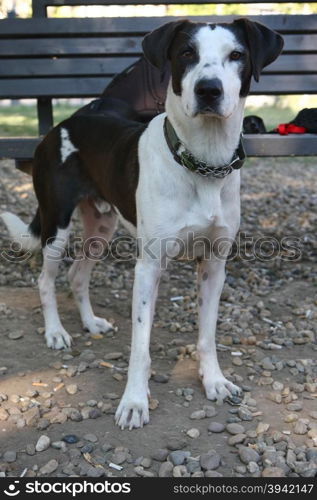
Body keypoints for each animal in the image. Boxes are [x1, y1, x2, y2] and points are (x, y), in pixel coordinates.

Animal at [1, 17, 282, 428]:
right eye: (187, 53)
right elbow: (140, 346)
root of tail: (61, 126)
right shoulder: (149, 267)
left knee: (77, 275)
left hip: (101, 229)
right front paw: (134, 402)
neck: (203, 163)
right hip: (57, 223)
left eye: (237, 55)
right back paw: (55, 332)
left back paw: (91, 323)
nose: (208, 89)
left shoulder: (214, 264)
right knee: (46, 280)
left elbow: (207, 335)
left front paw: (214, 381)